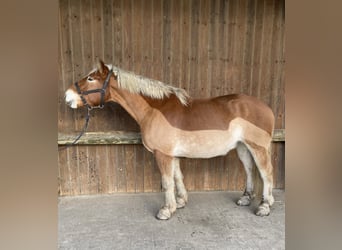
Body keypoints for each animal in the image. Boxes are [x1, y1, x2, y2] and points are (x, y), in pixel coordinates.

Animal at [65, 60, 276, 219]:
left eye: (90, 78)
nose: (68, 96)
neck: (155, 109)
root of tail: (267, 108)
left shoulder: (162, 154)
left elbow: (167, 182)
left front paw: (166, 210)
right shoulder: (171, 154)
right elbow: (177, 177)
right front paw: (180, 202)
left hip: (258, 147)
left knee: (266, 173)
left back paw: (265, 206)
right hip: (242, 147)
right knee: (249, 169)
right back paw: (246, 198)